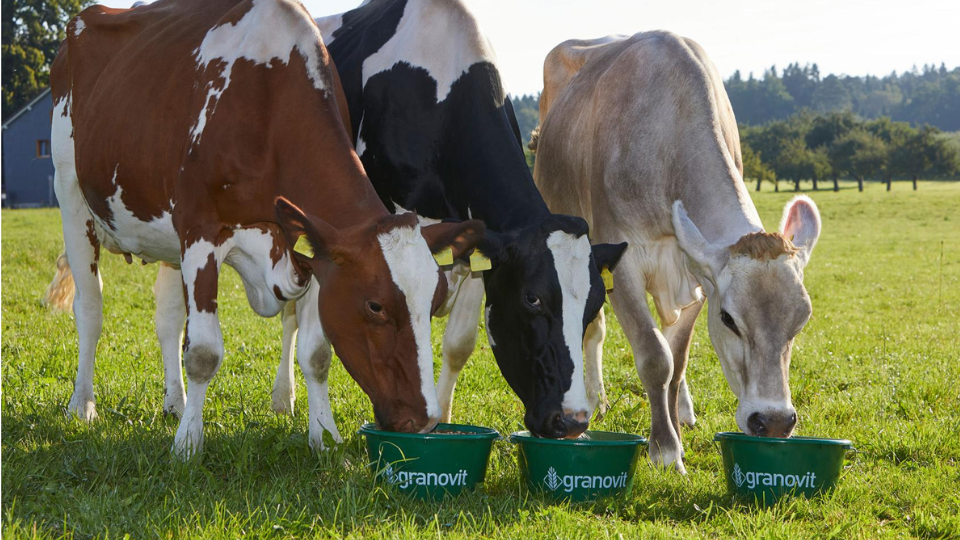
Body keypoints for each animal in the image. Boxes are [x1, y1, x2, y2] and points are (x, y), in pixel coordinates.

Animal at [44, 0, 483, 458]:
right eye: (375, 305)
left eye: (435, 301)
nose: (424, 420)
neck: (268, 106)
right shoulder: (199, 230)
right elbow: (203, 352)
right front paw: (188, 444)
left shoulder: (314, 252)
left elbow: (316, 353)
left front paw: (324, 436)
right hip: (71, 195)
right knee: (90, 309)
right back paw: (83, 404)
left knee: (167, 318)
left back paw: (175, 403)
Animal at [262, 0, 628, 439]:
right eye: (533, 298)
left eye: (595, 304)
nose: (571, 421)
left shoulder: (475, 244)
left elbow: (458, 343)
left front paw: (446, 417)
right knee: (290, 317)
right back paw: (283, 398)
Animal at [531, 32, 822, 472]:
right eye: (729, 319)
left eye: (801, 320)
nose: (773, 421)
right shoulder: (623, 266)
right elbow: (655, 357)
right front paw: (666, 451)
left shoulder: (697, 276)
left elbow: (678, 357)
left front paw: (676, 435)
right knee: (593, 329)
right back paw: (596, 399)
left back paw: (682, 410)